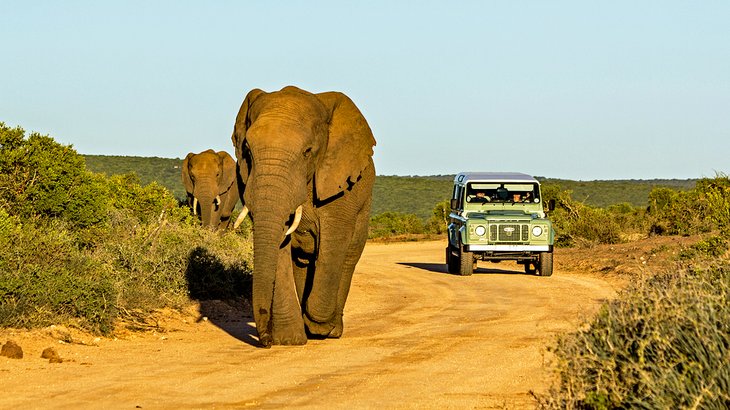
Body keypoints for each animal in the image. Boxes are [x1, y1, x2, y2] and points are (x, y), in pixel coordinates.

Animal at [232, 85, 376, 346]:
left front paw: (318, 326)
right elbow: (280, 247)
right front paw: (289, 340)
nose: (265, 340)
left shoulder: (340, 186)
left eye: (307, 152)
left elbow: (334, 242)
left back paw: (330, 331)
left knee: (348, 256)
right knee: (301, 262)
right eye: (247, 150)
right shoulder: (245, 178)